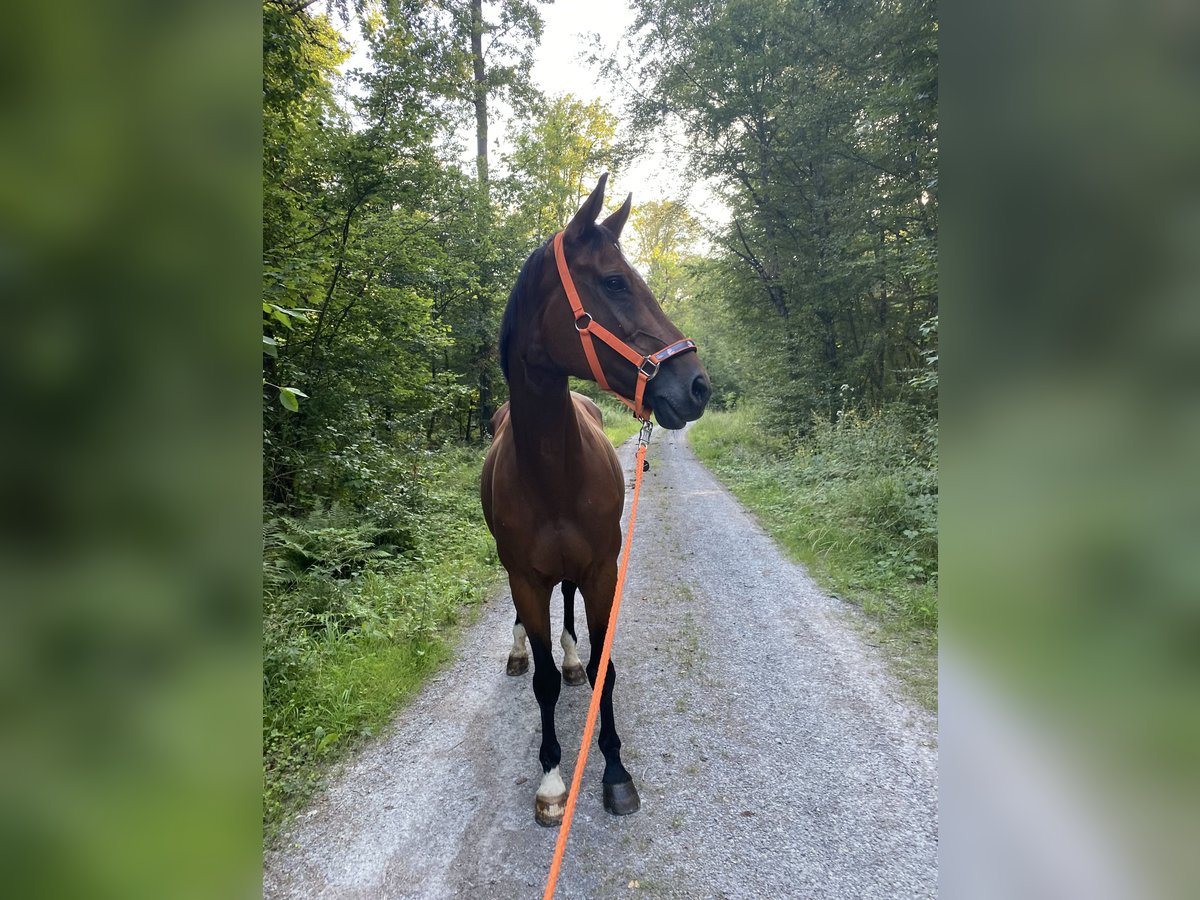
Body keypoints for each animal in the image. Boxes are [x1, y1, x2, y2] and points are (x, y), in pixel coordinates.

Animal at [477, 172, 705, 830]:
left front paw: (616, 771)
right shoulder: (526, 578)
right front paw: (553, 778)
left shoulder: (604, 568)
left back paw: (574, 656)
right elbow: (545, 684)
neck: (553, 474)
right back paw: (520, 652)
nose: (697, 385)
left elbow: (606, 663)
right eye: (613, 282)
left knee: (573, 610)